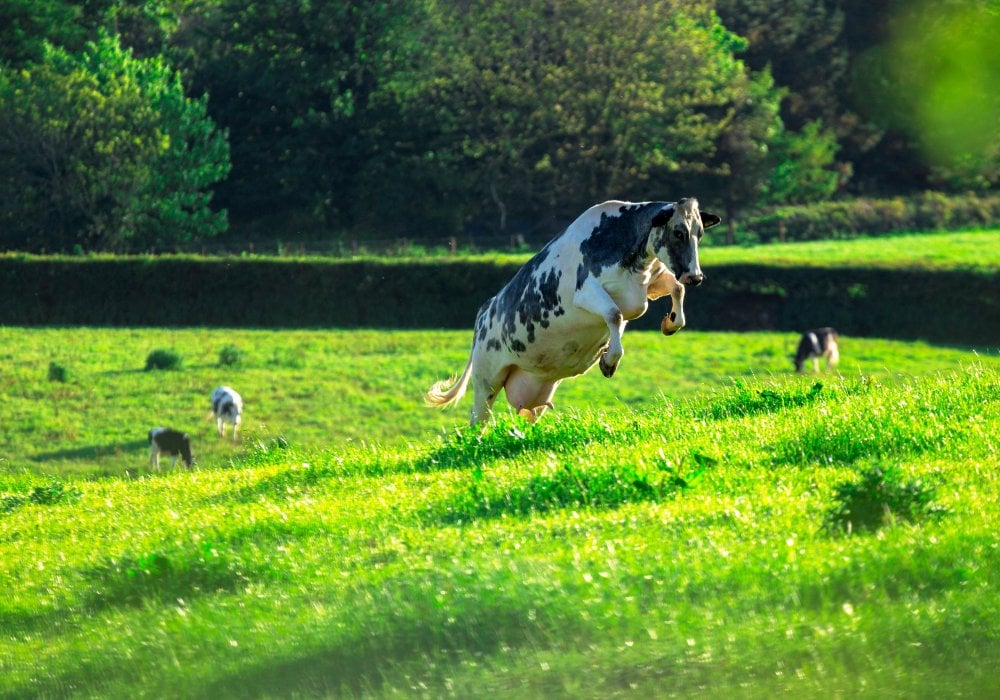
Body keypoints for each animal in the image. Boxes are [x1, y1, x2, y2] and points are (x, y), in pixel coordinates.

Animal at [422, 198, 720, 426]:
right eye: (678, 232)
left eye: (700, 233)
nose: (696, 276)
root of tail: (484, 312)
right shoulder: (585, 291)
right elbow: (614, 314)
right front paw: (609, 361)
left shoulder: (649, 283)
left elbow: (676, 290)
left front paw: (671, 322)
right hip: (486, 380)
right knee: (478, 420)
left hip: (535, 394)